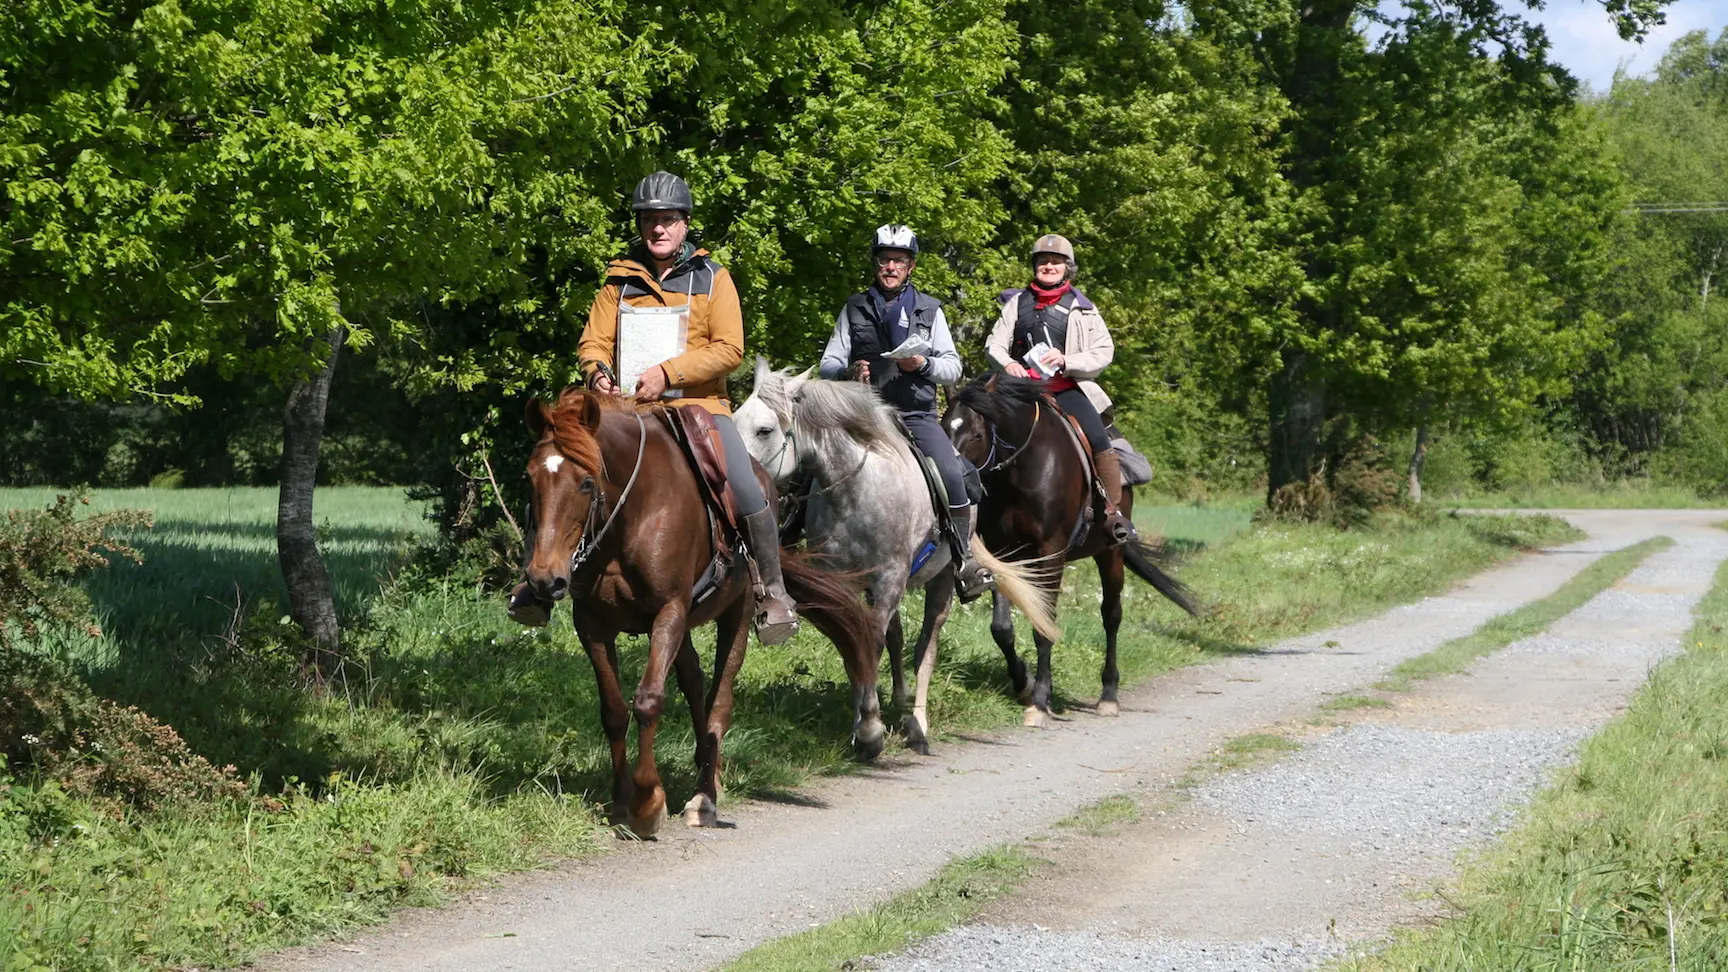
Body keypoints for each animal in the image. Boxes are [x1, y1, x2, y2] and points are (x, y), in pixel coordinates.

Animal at [522, 388, 881, 838]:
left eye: (586, 483)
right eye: (530, 478)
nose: (544, 580)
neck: (633, 515)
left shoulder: (668, 612)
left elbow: (649, 701)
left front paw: (647, 801)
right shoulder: (592, 624)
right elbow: (614, 711)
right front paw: (622, 800)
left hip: (736, 615)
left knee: (719, 701)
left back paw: (704, 798)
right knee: (694, 684)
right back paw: (709, 771)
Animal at [735, 360, 1061, 753]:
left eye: (764, 430)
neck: (855, 489)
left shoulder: (890, 579)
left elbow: (873, 643)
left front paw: (869, 730)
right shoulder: (846, 584)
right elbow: (854, 644)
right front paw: (863, 722)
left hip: (941, 581)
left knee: (925, 646)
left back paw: (917, 723)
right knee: (897, 637)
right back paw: (899, 699)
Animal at [942, 373, 1202, 727]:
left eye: (977, 434)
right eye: (944, 427)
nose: (954, 480)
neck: (1021, 468)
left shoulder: (1052, 552)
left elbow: (1044, 625)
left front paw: (1040, 701)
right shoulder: (1001, 552)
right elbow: (1002, 628)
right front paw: (1024, 683)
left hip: (1110, 553)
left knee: (1112, 615)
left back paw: (1109, 695)